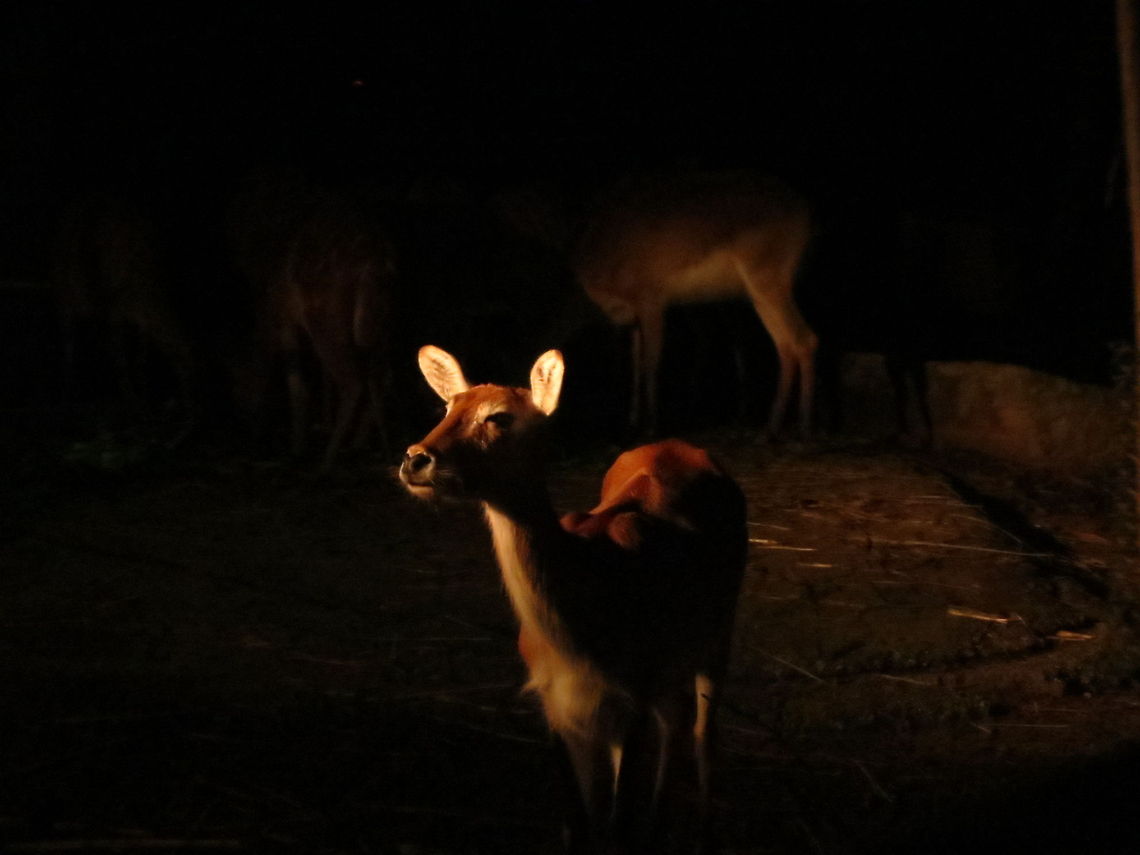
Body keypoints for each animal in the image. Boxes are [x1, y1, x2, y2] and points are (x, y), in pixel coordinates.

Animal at [399, 345, 748, 853]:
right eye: (447, 408)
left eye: (500, 417)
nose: (416, 460)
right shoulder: (558, 705)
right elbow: (580, 823)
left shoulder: (635, 694)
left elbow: (618, 824)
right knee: (678, 722)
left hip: (720, 631)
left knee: (705, 733)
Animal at [574, 171, 816, 438]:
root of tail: (803, 209)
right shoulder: (632, 317)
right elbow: (635, 363)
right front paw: (633, 422)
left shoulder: (651, 301)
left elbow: (651, 362)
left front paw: (651, 427)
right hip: (760, 293)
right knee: (785, 345)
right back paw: (770, 429)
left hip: (768, 282)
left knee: (804, 338)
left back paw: (804, 427)